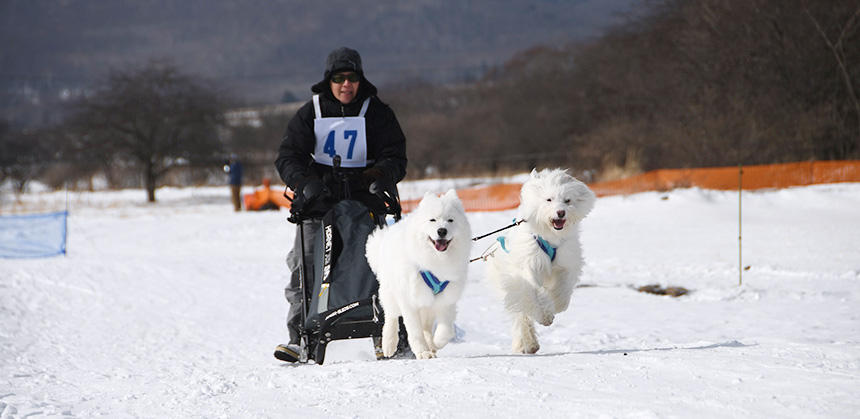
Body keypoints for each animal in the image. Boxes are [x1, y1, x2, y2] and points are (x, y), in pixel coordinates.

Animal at [362, 190, 470, 360]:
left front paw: (435, 344)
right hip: (391, 293)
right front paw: (422, 351)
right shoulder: (409, 301)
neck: (435, 260)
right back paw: (388, 345)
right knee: (390, 317)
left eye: (450, 220)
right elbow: (415, 331)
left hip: (427, 303)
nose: (442, 231)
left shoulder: (446, 299)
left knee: (426, 326)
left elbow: (446, 330)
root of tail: (386, 234)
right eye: (432, 220)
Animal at [488, 167, 596, 354]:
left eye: (567, 200)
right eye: (549, 199)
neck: (550, 236)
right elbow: (534, 293)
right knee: (522, 316)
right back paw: (527, 344)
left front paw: (557, 304)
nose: (561, 212)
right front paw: (546, 316)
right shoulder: (529, 267)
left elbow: (563, 288)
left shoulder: (566, 263)